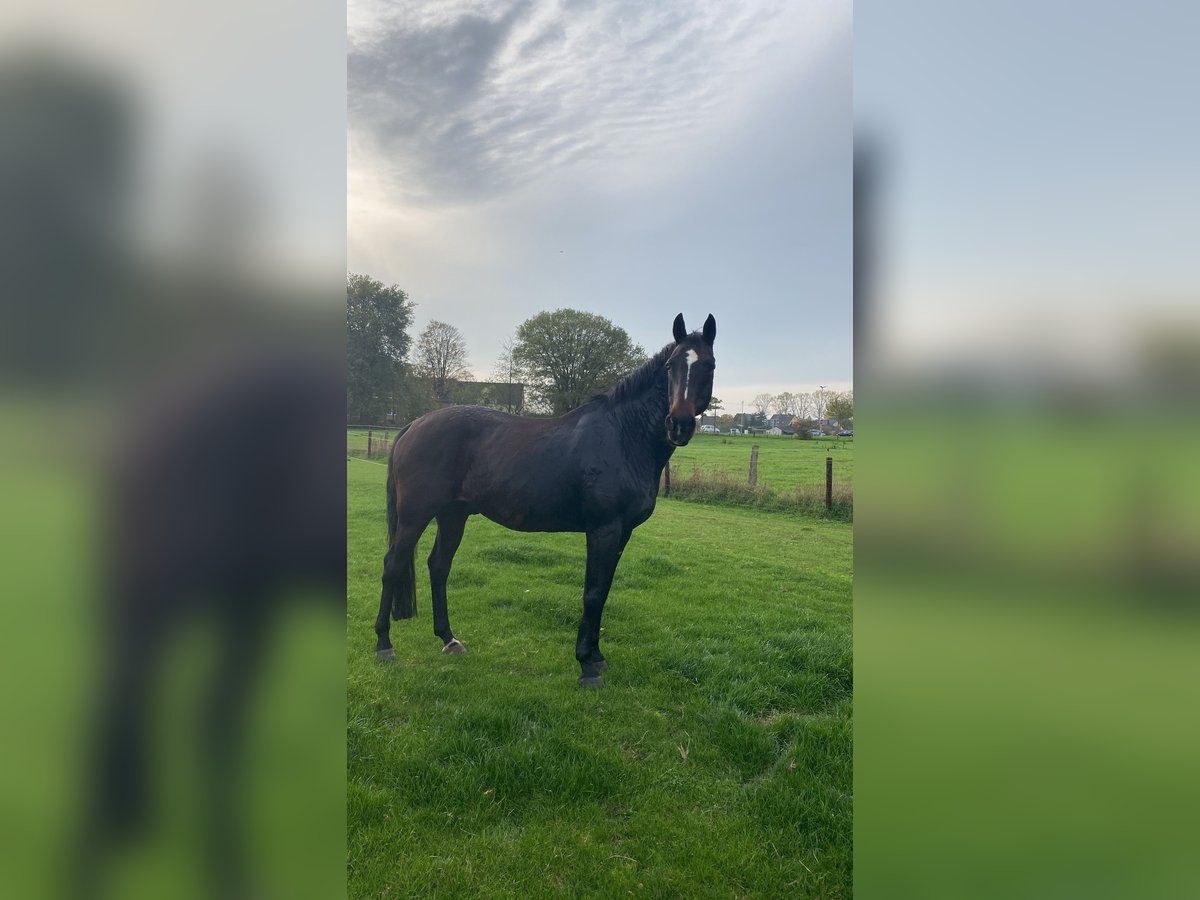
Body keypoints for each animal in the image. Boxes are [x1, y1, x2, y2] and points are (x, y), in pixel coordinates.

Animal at [374, 314, 710, 686]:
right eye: (670, 366)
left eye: (708, 365)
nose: (679, 424)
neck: (623, 436)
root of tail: (414, 425)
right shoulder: (604, 529)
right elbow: (593, 592)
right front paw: (586, 666)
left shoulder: (623, 533)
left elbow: (604, 590)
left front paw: (597, 657)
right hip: (415, 515)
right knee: (393, 565)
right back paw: (384, 645)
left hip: (453, 515)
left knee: (438, 565)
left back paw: (449, 639)